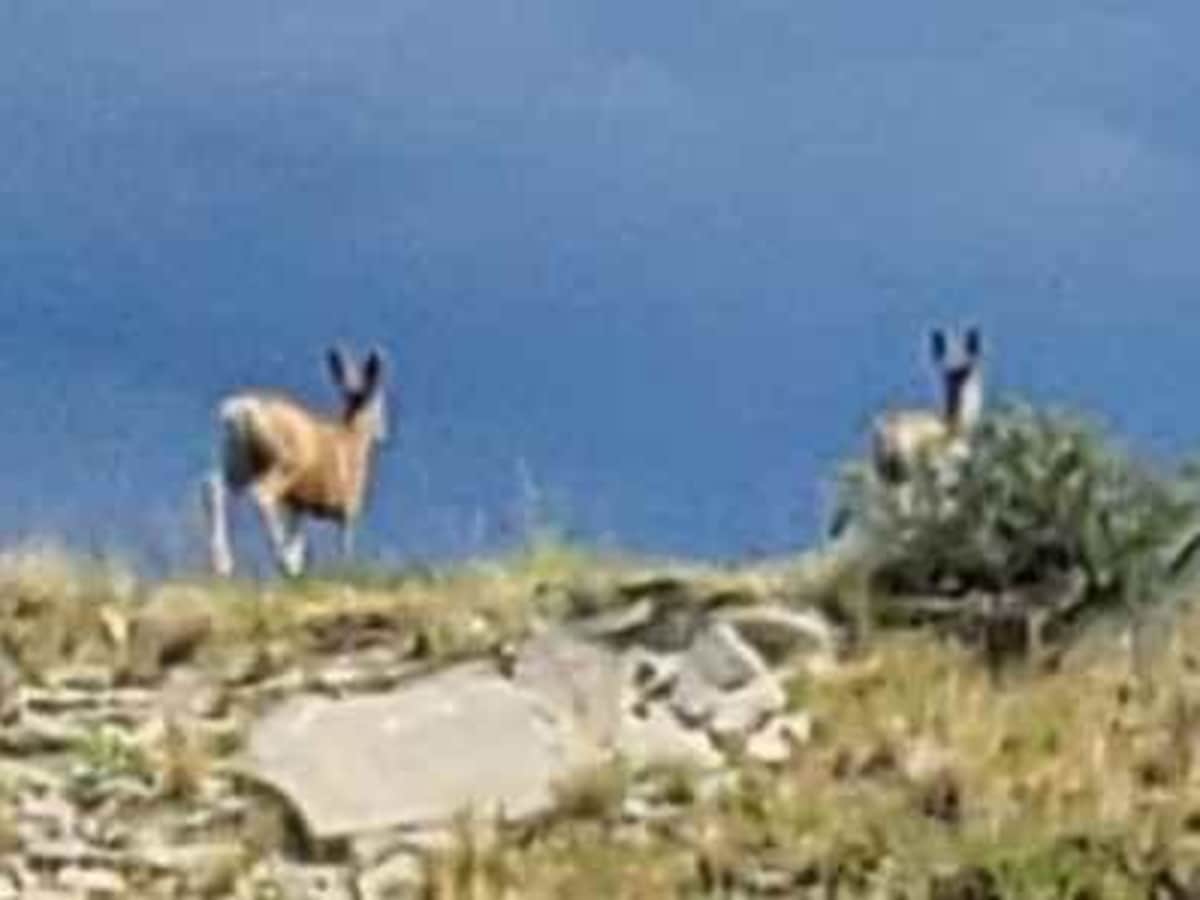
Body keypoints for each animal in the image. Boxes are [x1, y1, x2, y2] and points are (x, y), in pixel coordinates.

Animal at [204, 346, 389, 577]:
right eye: (380, 402)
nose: (385, 434)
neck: (353, 440)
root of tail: (240, 411)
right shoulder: (348, 507)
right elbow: (344, 547)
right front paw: (345, 569)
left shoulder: (297, 503)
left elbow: (297, 538)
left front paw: (297, 562)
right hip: (284, 464)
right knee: (262, 495)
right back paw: (282, 563)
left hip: (238, 462)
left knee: (214, 486)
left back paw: (223, 564)